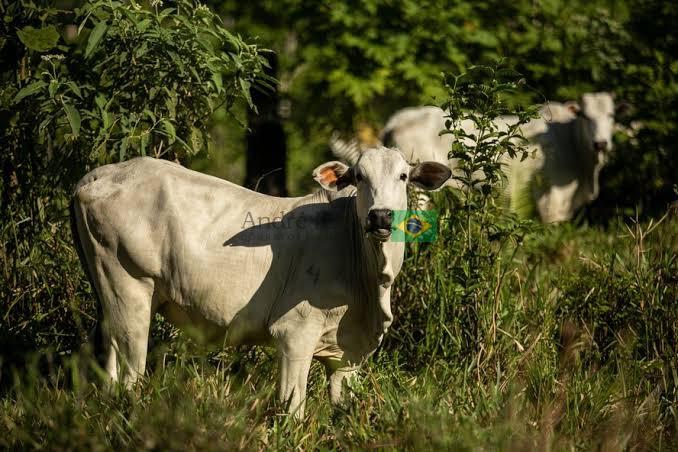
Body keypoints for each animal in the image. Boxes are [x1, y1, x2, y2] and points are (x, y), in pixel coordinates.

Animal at [71, 151, 452, 416]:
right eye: (358, 176)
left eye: (403, 176)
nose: (380, 216)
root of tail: (98, 174)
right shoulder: (294, 334)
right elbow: (293, 410)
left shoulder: (347, 358)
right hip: (129, 289)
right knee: (130, 377)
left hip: (109, 295)